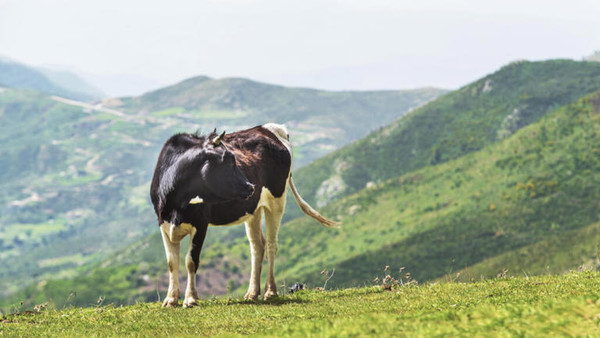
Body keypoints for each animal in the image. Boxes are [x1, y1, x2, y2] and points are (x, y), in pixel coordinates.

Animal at [149, 123, 340, 306]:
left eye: (235, 160)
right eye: (228, 162)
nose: (251, 187)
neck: (176, 203)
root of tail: (270, 129)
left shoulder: (200, 224)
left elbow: (191, 261)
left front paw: (190, 299)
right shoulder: (163, 224)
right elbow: (172, 263)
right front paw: (171, 299)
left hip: (277, 201)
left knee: (271, 245)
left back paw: (270, 291)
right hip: (253, 210)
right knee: (257, 246)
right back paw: (252, 293)